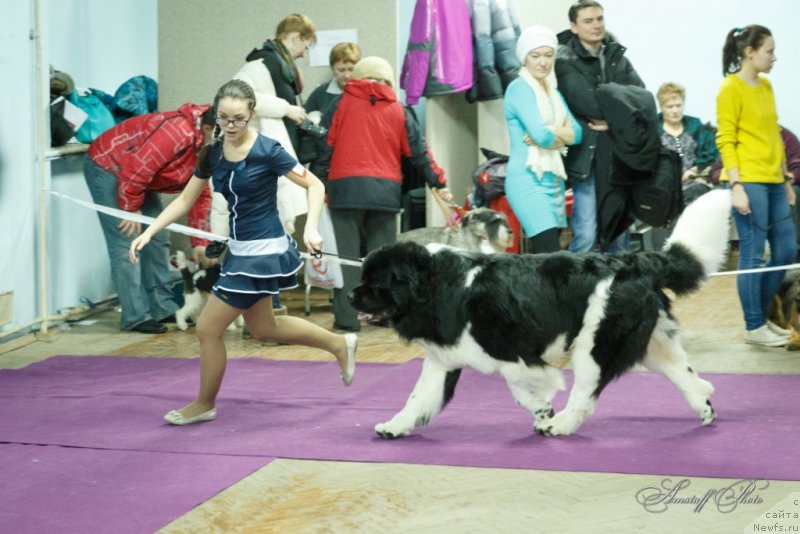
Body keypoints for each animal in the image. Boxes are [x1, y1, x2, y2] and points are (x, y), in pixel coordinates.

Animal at [350, 188, 732, 440]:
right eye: (363, 277)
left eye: (374, 283)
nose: (353, 295)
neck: (438, 285)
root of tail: (636, 260)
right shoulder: (443, 360)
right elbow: (417, 398)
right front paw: (394, 426)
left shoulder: (514, 352)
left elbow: (522, 387)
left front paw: (542, 410)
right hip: (652, 343)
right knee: (687, 376)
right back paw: (705, 409)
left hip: (596, 344)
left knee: (585, 392)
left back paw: (560, 424)